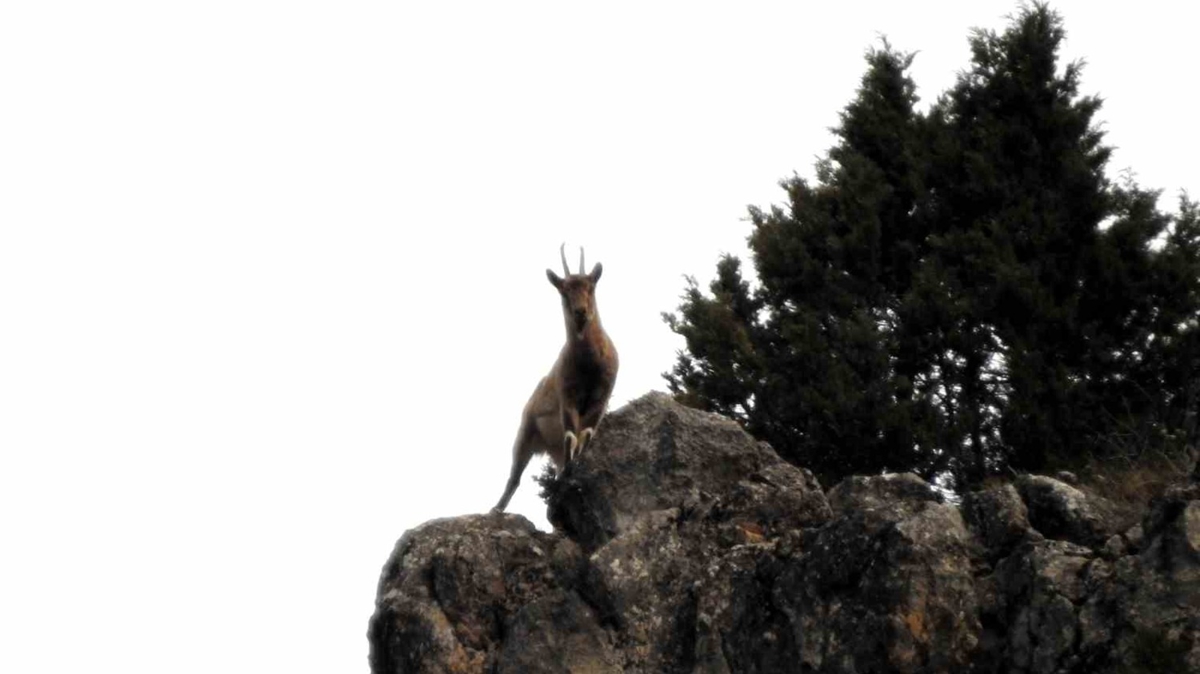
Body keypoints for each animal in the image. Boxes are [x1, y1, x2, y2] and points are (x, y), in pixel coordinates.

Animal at [492, 243, 619, 510]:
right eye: (563, 291)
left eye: (591, 287)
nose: (580, 312)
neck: (588, 365)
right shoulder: (567, 398)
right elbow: (571, 435)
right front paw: (571, 478)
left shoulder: (600, 400)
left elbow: (584, 436)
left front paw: (575, 475)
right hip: (526, 432)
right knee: (514, 477)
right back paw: (496, 509)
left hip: (552, 447)